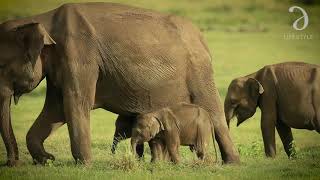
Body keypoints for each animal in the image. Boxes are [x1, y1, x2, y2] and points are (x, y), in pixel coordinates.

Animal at [0, 2, 239, 166]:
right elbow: (55, 109)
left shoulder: (79, 57)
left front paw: (84, 165)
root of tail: (201, 36)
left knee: (214, 113)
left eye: (1, 65)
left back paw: (231, 163)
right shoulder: (60, 67)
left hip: (199, 71)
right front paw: (46, 159)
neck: (43, 19)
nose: (12, 163)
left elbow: (75, 103)